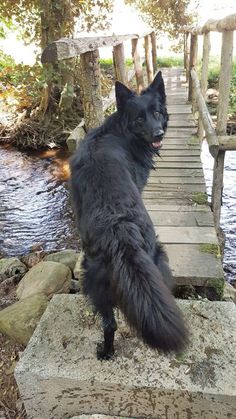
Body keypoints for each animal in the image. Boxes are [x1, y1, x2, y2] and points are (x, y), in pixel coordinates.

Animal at [70, 72, 188, 360]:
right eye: (139, 118)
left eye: (157, 112)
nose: (158, 133)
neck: (119, 131)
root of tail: (120, 229)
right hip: (155, 262)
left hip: (98, 284)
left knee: (110, 323)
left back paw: (106, 353)